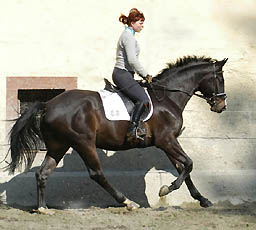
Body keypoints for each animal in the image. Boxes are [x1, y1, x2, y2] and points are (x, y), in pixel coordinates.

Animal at [6, 55, 228, 212]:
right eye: (220, 79)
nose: (221, 106)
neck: (167, 98)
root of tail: (48, 104)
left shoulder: (167, 142)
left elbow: (183, 167)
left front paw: (203, 199)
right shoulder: (167, 140)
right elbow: (189, 164)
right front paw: (166, 188)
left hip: (58, 146)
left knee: (43, 173)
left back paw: (43, 208)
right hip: (83, 143)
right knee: (97, 174)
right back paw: (128, 202)